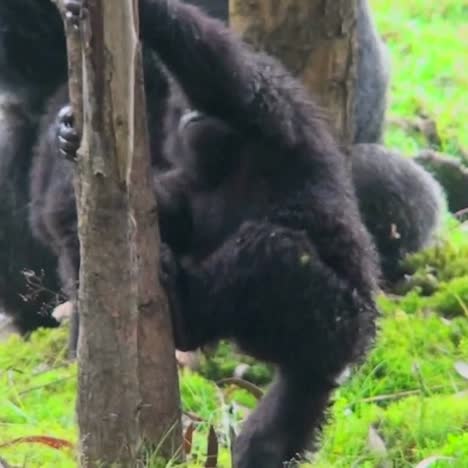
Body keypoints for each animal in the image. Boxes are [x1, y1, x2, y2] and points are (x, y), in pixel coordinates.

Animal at [52, 1, 380, 466]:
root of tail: (332, 362)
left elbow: (229, 75)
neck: (233, 158)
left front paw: (152, 14)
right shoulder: (193, 179)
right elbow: (171, 210)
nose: (189, 114)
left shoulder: (276, 107)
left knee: (272, 254)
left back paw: (187, 314)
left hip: (332, 318)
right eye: (176, 107)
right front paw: (67, 133)